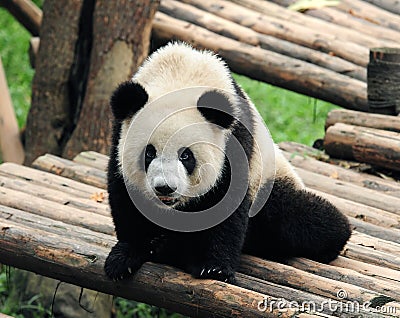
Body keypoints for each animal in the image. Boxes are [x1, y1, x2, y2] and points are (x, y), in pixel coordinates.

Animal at [104, 42, 352, 284]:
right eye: (149, 153)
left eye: (186, 156)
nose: (165, 188)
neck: (181, 75)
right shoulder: (119, 135)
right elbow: (125, 195)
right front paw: (125, 257)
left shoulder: (235, 143)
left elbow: (226, 204)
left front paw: (214, 267)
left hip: (271, 185)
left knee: (307, 220)